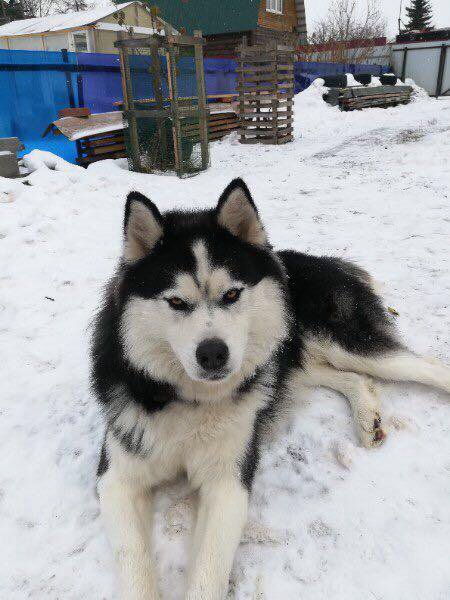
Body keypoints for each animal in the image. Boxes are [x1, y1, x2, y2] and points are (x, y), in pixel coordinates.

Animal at [90, 179, 446, 600]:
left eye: (231, 294)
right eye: (176, 301)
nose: (213, 354)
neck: (192, 400)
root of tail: (315, 259)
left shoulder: (229, 480)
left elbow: (209, 571)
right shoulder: (117, 476)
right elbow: (132, 562)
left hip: (346, 345)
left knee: (428, 367)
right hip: (293, 361)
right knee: (351, 377)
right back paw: (367, 419)